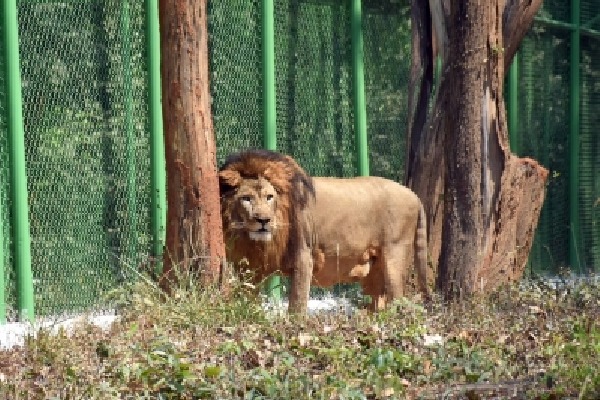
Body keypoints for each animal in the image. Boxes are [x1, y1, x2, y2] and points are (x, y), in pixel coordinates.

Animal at [218, 148, 428, 314]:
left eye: (269, 197)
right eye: (246, 198)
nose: (263, 220)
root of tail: (414, 195)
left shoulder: (304, 256)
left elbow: (297, 304)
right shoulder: (251, 265)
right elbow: (248, 296)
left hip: (395, 256)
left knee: (399, 300)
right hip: (374, 271)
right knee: (380, 302)